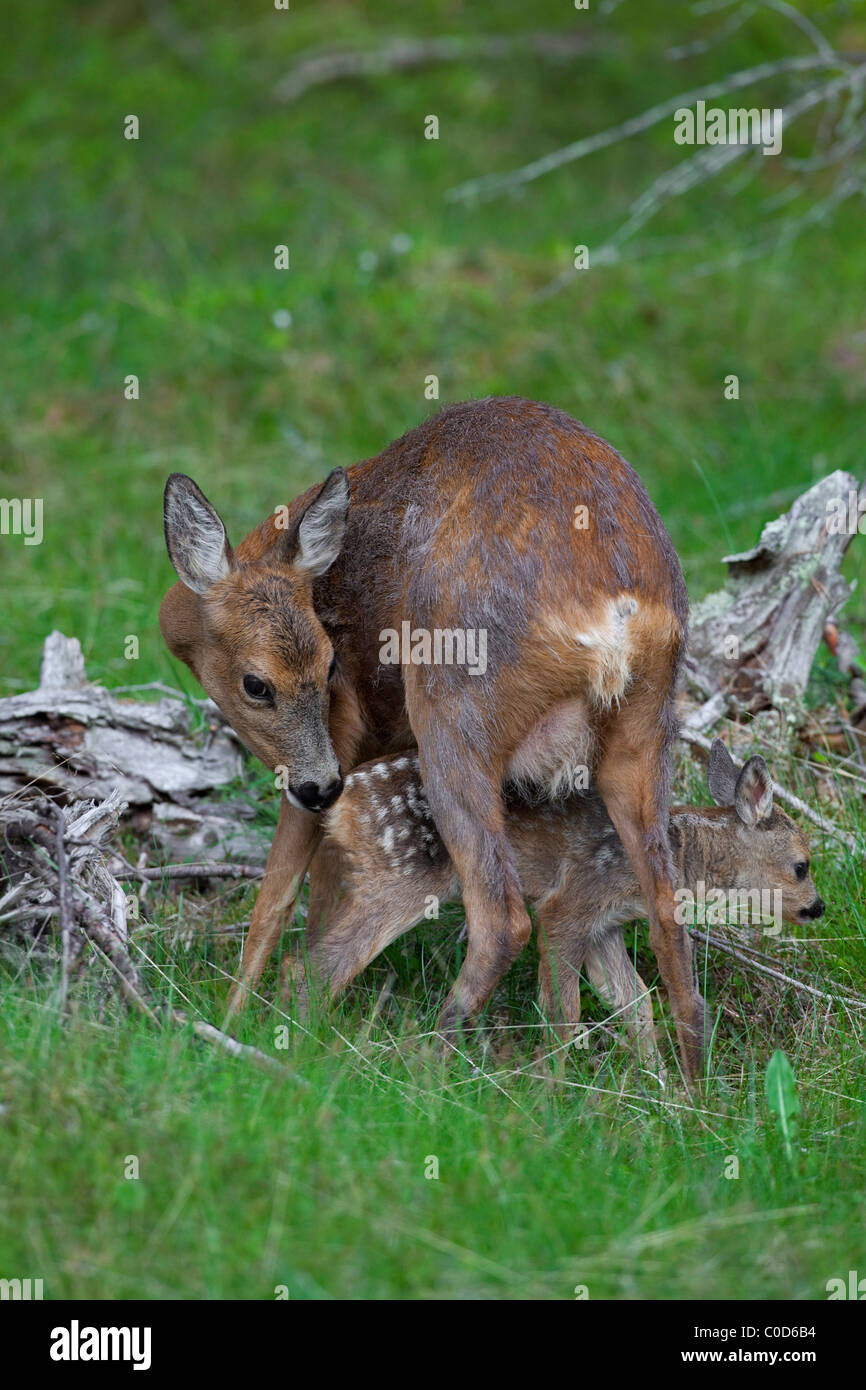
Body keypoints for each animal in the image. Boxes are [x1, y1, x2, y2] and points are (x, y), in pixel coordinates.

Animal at [161, 400, 706, 1073]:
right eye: (258, 685)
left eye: (329, 667)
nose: (320, 788)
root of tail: (618, 610)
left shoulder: (341, 742)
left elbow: (278, 897)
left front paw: (233, 1023)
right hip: (645, 732)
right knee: (668, 915)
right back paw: (685, 1085)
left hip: (452, 712)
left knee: (503, 918)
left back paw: (426, 1061)